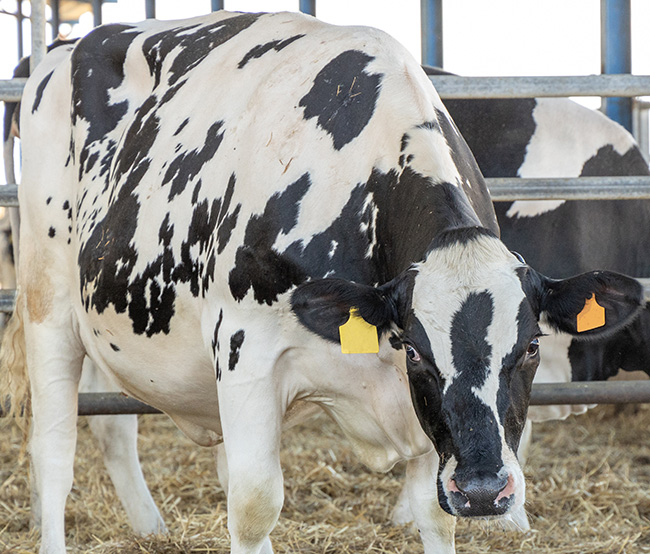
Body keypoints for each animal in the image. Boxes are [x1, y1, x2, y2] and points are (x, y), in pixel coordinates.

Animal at [0, 12, 642, 554]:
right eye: (416, 350)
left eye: (530, 345)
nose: (484, 490)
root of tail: (64, 48)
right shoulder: (246, 352)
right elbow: (254, 505)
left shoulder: (426, 426)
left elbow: (436, 516)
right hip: (47, 303)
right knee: (54, 451)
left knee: (114, 428)